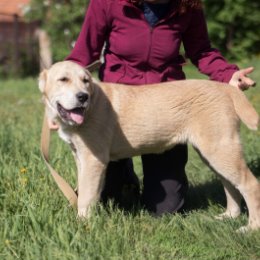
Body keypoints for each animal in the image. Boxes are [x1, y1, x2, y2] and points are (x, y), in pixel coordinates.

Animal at [39, 61, 260, 232]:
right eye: (63, 79)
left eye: (86, 81)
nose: (83, 97)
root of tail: (226, 88)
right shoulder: (81, 158)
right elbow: (91, 193)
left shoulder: (93, 160)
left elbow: (85, 195)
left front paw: (82, 225)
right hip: (213, 153)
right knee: (230, 184)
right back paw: (230, 215)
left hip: (220, 150)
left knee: (250, 184)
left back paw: (251, 227)